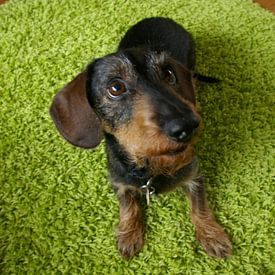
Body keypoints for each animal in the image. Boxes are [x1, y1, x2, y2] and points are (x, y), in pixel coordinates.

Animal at [50, 17, 233, 260]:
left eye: (169, 74)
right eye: (115, 87)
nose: (187, 126)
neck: (150, 166)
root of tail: (163, 18)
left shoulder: (194, 172)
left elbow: (199, 206)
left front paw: (212, 235)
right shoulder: (119, 181)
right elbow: (128, 206)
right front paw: (129, 234)